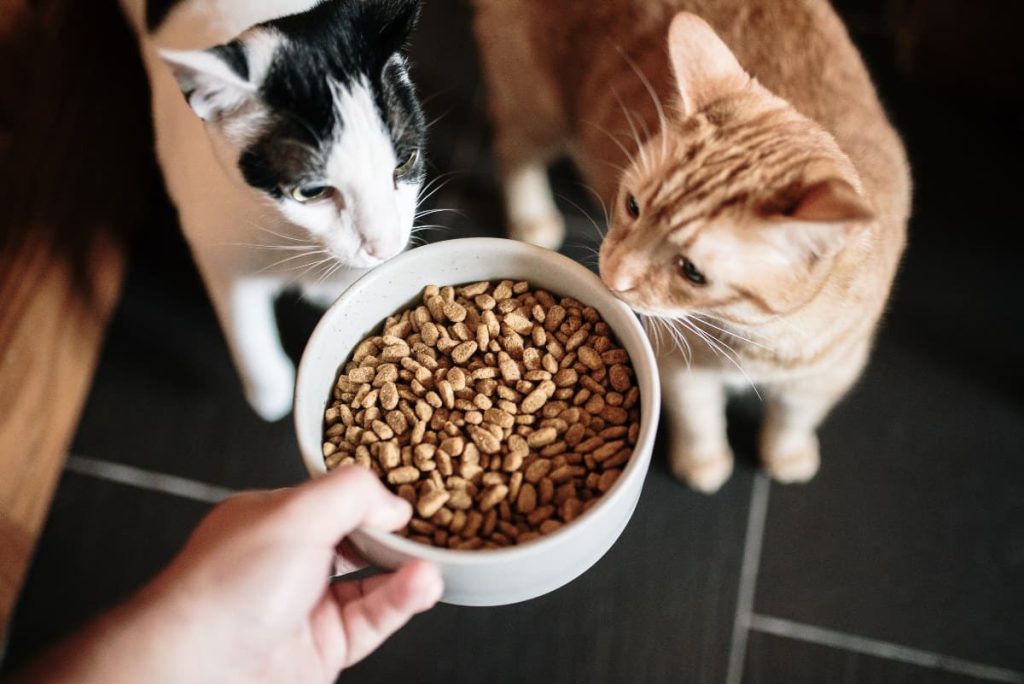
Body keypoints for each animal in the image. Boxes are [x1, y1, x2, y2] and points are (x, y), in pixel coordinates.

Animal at [118, 0, 423, 419]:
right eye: (311, 192)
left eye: (406, 160)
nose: (385, 246)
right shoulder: (216, 242)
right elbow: (244, 324)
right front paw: (270, 390)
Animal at [471, 0, 913, 491]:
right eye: (632, 205)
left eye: (692, 271)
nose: (612, 276)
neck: (755, 338)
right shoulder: (678, 365)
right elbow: (699, 419)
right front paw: (704, 465)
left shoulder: (829, 374)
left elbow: (794, 420)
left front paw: (787, 456)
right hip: (534, 101)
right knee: (513, 148)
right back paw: (532, 217)